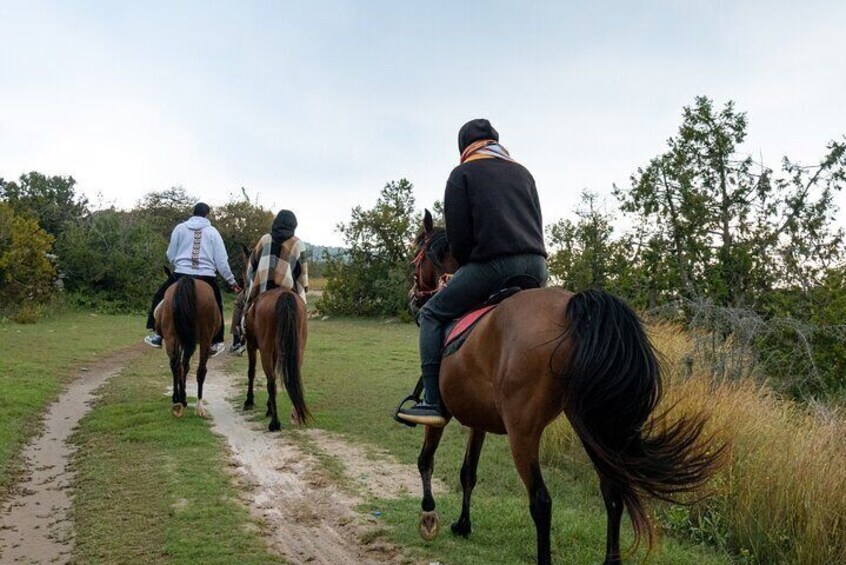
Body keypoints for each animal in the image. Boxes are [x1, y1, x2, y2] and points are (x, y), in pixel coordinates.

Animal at [156, 276, 222, 416]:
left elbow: (183, 367)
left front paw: (182, 397)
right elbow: (187, 367)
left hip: (171, 336)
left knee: (175, 365)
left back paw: (177, 400)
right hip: (205, 339)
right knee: (200, 370)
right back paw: (199, 406)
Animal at [232, 245, 312, 430]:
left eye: (244, 272)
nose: (242, 294)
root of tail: (285, 295)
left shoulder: (252, 345)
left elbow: (251, 372)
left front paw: (249, 401)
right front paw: (268, 407)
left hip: (266, 350)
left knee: (271, 382)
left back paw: (275, 423)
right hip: (297, 348)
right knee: (291, 377)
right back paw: (294, 415)